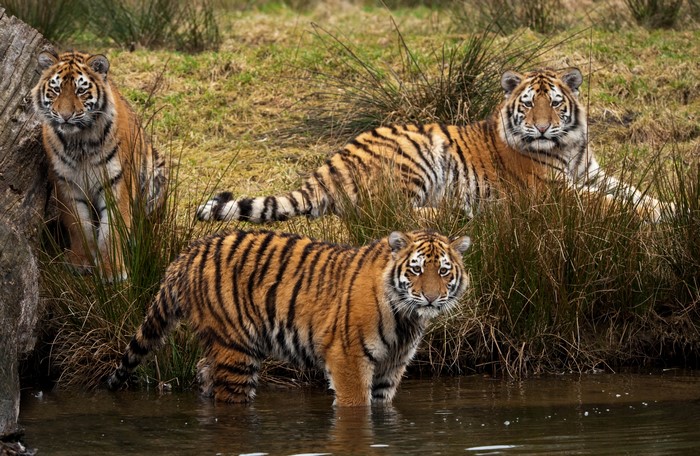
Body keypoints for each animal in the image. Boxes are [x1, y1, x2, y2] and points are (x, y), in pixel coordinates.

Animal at [32, 50, 168, 280]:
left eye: (80, 90)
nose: (65, 116)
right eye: (56, 89)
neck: (79, 141)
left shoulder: (117, 182)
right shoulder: (66, 183)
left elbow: (112, 229)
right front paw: (80, 262)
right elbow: (78, 224)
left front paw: (112, 270)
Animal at [107, 229, 471, 406]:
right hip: (236, 350)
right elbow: (356, 406)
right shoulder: (348, 359)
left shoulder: (391, 367)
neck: (406, 318)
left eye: (443, 271)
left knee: (203, 371)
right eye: (416, 270)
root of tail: (186, 254)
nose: (432, 297)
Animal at [196, 67, 671, 224]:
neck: (568, 147)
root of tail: (328, 164)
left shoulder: (593, 173)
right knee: (385, 212)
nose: (539, 130)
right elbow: (607, 204)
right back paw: (457, 212)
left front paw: (670, 206)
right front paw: (656, 214)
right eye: (527, 105)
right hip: (418, 155)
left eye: (554, 103)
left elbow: (633, 191)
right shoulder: (552, 191)